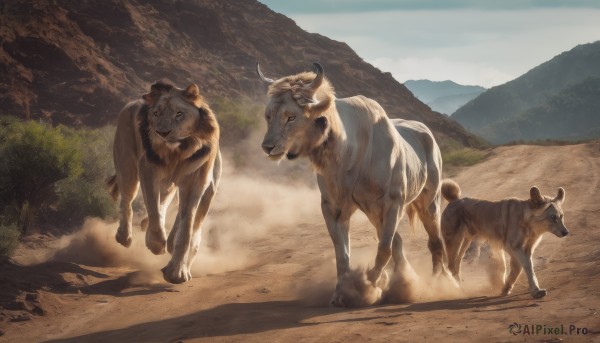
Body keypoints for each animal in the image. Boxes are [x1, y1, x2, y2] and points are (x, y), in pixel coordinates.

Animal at [106, 80, 221, 284]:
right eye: (156, 114)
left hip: (174, 186)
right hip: (127, 166)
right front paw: (155, 244)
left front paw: (177, 272)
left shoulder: (196, 181)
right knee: (127, 200)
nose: (162, 132)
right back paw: (124, 236)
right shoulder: (148, 171)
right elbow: (152, 209)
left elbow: (186, 228)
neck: (178, 152)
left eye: (179, 113)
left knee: (166, 207)